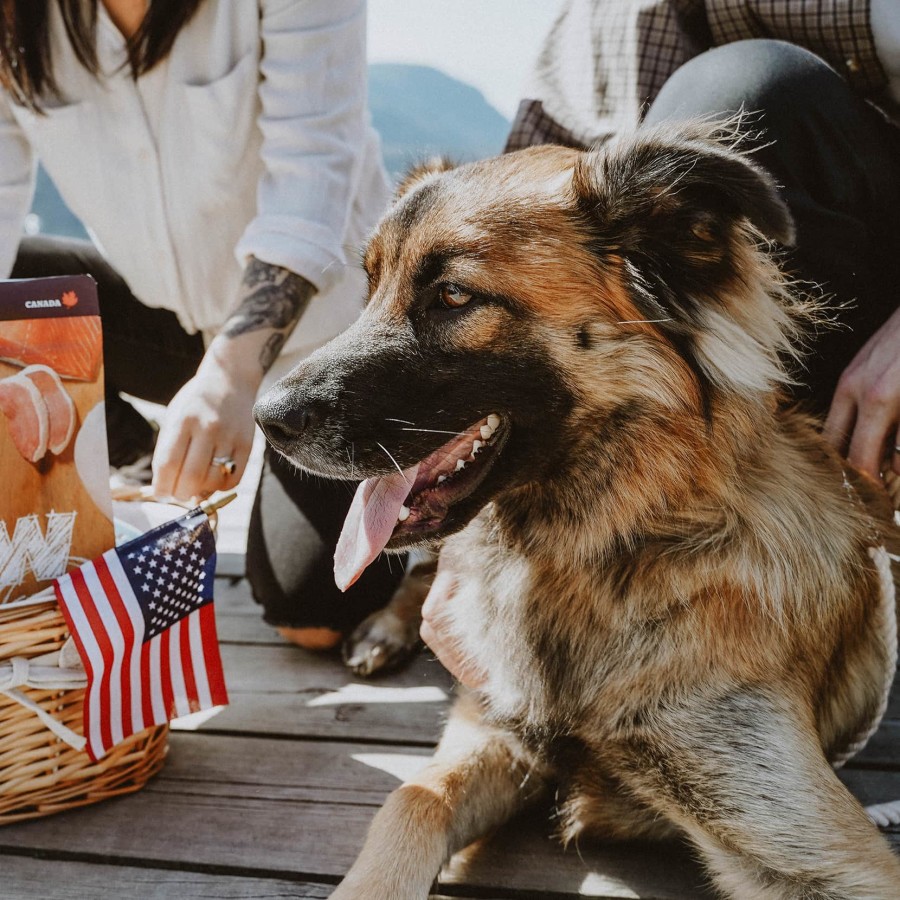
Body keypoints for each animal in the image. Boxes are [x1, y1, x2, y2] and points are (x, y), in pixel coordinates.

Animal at [253, 121, 900, 900]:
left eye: (453, 296)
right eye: (369, 287)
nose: (264, 417)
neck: (601, 552)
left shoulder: (809, 844)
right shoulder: (496, 725)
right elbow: (411, 799)